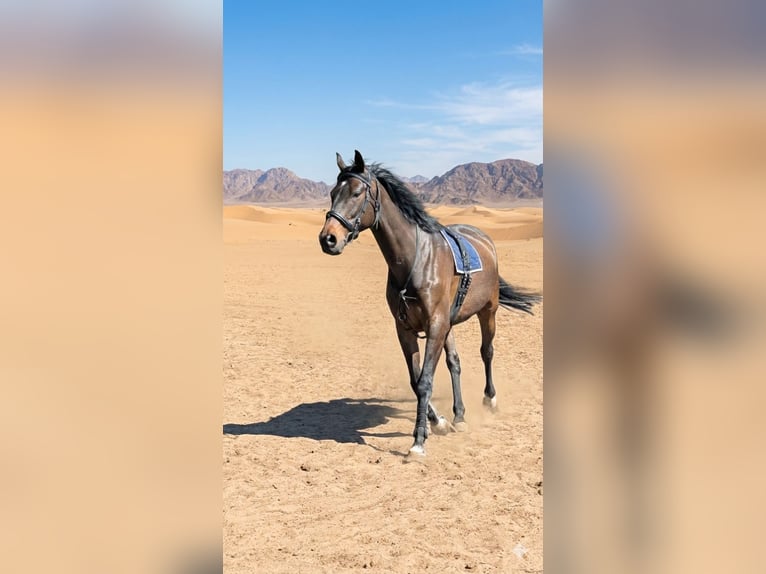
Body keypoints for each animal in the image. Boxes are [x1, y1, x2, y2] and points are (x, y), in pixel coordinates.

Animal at [318, 150, 540, 456]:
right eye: (332, 193)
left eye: (356, 193)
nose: (328, 239)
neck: (416, 259)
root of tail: (484, 239)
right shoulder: (407, 329)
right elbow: (416, 380)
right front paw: (441, 422)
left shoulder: (435, 325)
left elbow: (425, 381)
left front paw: (419, 440)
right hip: (450, 323)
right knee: (454, 362)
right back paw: (460, 415)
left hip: (488, 311)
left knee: (487, 352)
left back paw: (490, 399)